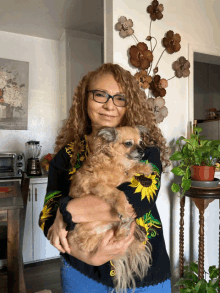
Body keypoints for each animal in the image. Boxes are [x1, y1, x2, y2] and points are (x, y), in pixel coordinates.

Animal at [67, 125, 153, 292]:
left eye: (141, 142)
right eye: (128, 143)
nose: (142, 151)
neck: (115, 161)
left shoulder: (124, 175)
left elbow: (131, 170)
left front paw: (144, 167)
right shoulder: (99, 186)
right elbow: (119, 194)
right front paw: (123, 209)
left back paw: (133, 230)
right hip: (93, 235)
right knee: (115, 237)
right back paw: (125, 227)